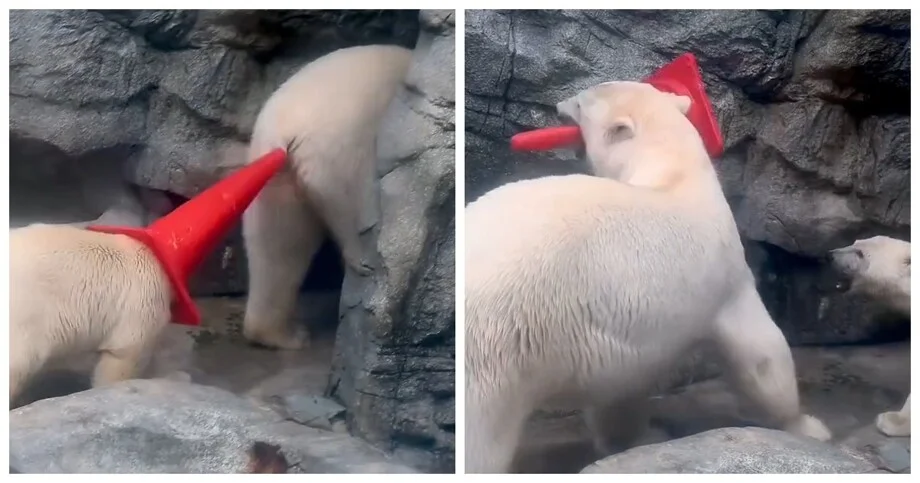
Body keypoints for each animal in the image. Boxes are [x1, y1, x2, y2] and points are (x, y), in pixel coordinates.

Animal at [239, 44, 413, 351]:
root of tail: (284, 133)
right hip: (339, 141)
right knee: (342, 194)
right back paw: (360, 254)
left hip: (271, 179)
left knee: (278, 249)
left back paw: (281, 334)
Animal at [464, 81, 831, 473]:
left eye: (579, 102)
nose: (557, 107)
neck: (675, 172)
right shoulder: (725, 269)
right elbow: (761, 354)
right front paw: (808, 426)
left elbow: (617, 391)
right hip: (496, 350)